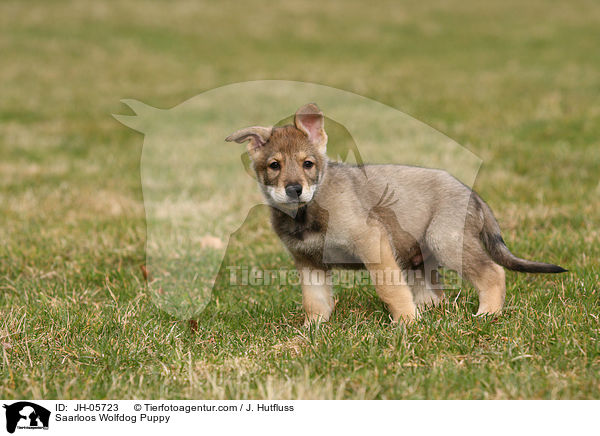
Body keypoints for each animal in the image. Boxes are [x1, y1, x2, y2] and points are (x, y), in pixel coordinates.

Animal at [226, 104, 568, 326]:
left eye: (308, 164)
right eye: (274, 165)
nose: (295, 190)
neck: (308, 212)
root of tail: (472, 193)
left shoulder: (372, 242)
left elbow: (389, 288)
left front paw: (406, 323)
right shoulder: (309, 262)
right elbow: (315, 302)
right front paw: (312, 332)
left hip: (445, 241)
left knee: (493, 273)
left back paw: (488, 314)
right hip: (419, 258)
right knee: (436, 295)